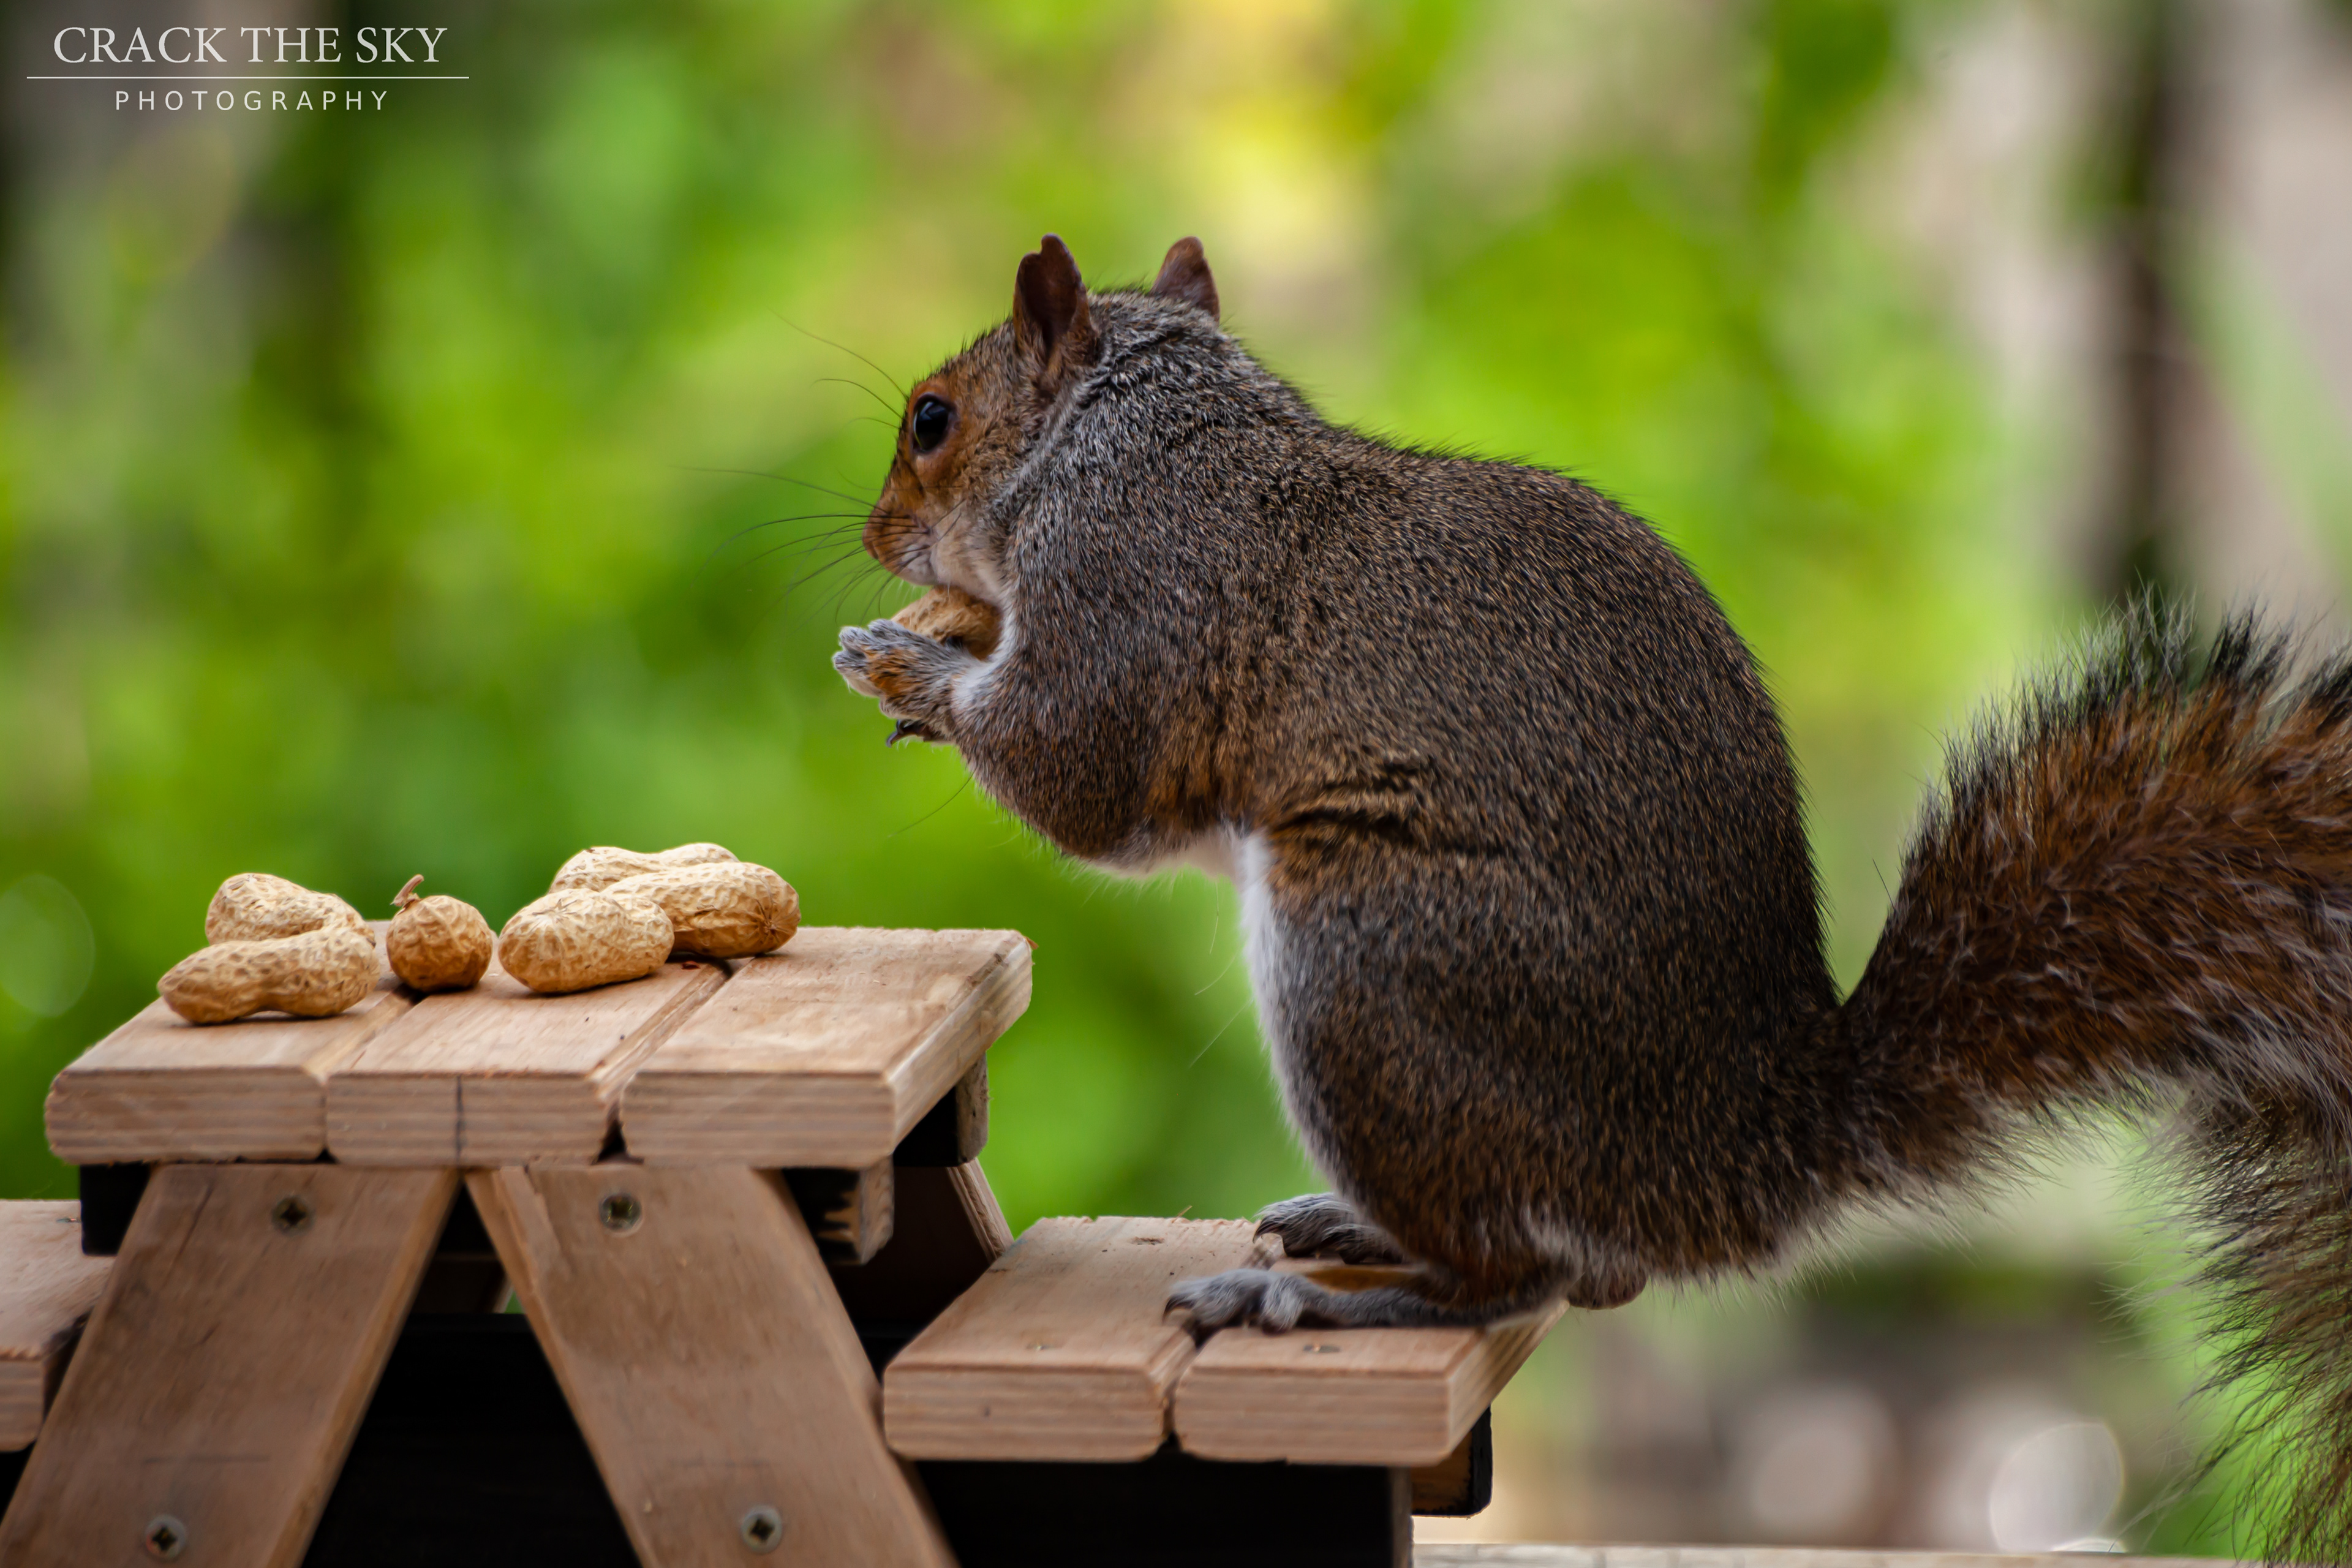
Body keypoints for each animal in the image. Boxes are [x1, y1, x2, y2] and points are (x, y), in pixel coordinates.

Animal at [835, 234, 2352, 1560]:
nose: (875, 531)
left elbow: (1077, 772)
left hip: (1372, 951)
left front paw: (912, 670)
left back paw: (1316, 1297)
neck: (1129, 435)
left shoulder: (1130, 594)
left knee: (1518, 1278)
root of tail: (1742, 1152)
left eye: (931, 418)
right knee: (1571, 1261)